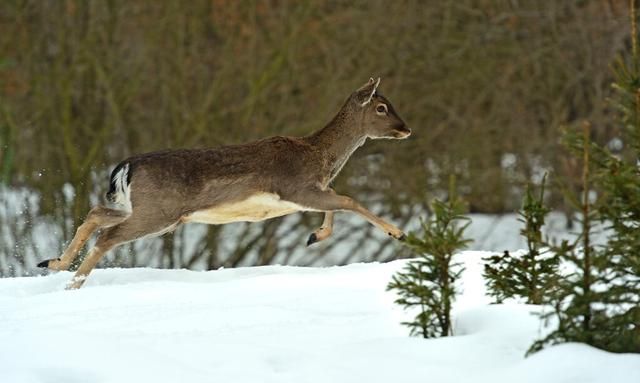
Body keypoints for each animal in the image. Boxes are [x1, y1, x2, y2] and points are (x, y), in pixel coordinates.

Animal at [37, 77, 412, 288]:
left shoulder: (308, 192)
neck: (320, 157)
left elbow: (337, 201)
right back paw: (73, 284)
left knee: (96, 214)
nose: (406, 128)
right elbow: (348, 199)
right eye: (381, 107)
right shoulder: (295, 187)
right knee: (108, 235)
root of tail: (126, 167)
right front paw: (398, 232)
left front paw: (314, 236)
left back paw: (53, 263)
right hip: (159, 212)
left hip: (148, 210)